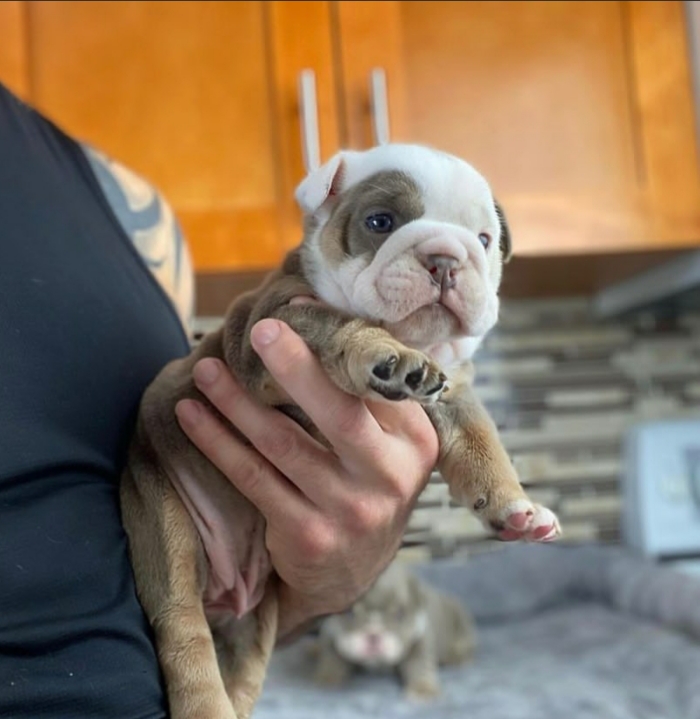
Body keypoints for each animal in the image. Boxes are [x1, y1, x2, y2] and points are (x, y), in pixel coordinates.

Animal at [313, 561, 475, 700]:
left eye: (399, 614)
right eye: (349, 613)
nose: (374, 635)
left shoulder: (419, 639)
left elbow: (419, 665)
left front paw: (422, 689)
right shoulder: (330, 634)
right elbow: (332, 659)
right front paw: (328, 678)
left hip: (462, 621)